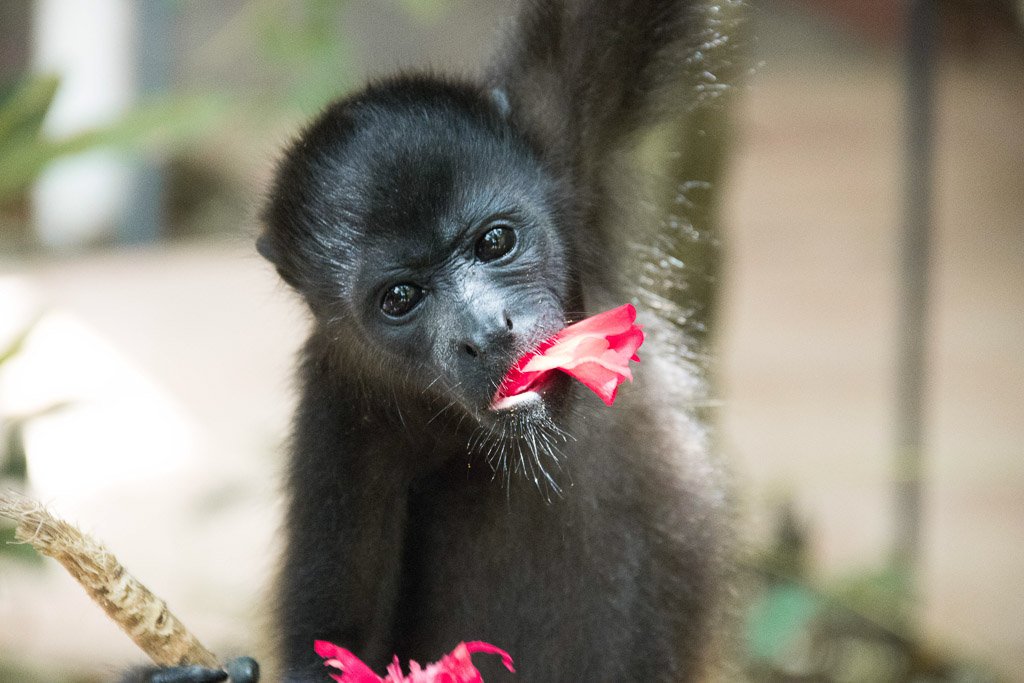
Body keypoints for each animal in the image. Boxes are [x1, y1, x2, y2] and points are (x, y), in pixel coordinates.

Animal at [136, 1, 741, 683]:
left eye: (495, 242)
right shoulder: (341, 420)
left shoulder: (560, 133)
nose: (485, 332)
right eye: (401, 298)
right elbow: (336, 646)